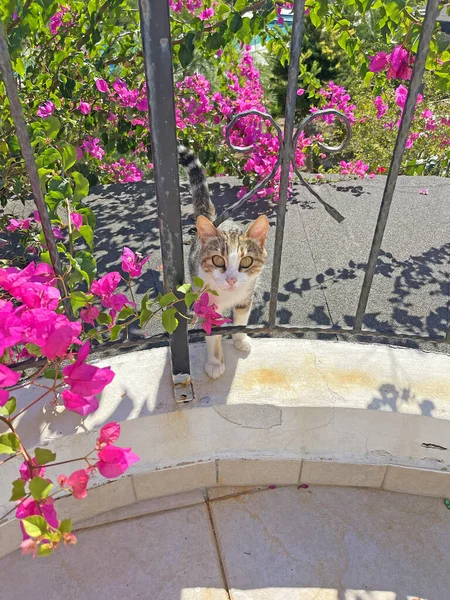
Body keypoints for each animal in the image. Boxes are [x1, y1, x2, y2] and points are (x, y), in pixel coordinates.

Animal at [178, 144, 270, 380]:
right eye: (218, 260)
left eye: (246, 262)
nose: (230, 279)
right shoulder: (208, 305)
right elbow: (212, 334)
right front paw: (214, 362)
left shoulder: (246, 296)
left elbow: (240, 320)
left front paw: (240, 340)